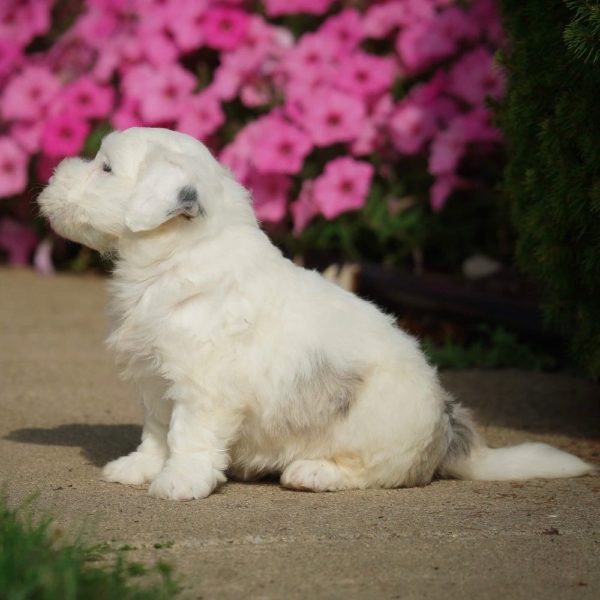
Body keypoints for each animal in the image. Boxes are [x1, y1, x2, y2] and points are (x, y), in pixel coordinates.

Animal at [38, 129, 596, 500]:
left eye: (105, 168)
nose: (51, 175)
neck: (175, 259)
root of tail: (448, 433)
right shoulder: (156, 380)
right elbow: (156, 431)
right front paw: (140, 469)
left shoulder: (202, 389)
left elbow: (187, 435)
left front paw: (179, 482)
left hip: (377, 427)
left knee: (377, 472)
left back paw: (312, 472)